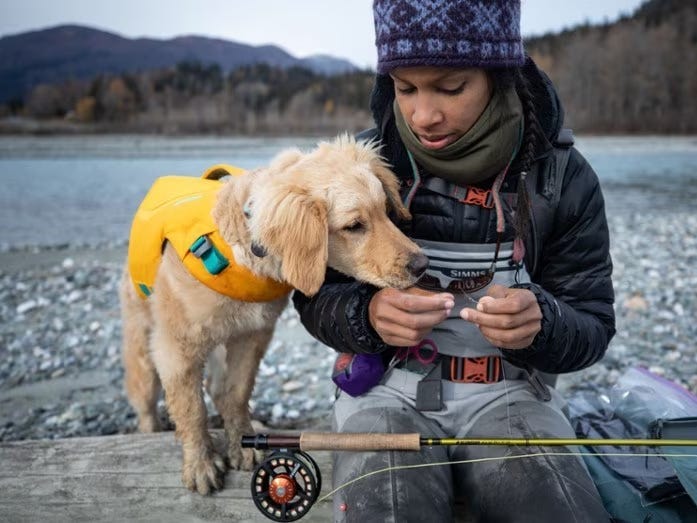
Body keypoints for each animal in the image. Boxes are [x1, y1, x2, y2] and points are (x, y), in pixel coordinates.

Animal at [118, 135, 430, 496]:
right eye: (354, 226)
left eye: (385, 211)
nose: (422, 265)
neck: (244, 253)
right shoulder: (177, 345)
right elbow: (191, 407)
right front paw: (200, 465)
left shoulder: (252, 335)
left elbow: (236, 392)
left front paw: (242, 444)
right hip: (142, 342)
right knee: (144, 396)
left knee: (216, 388)